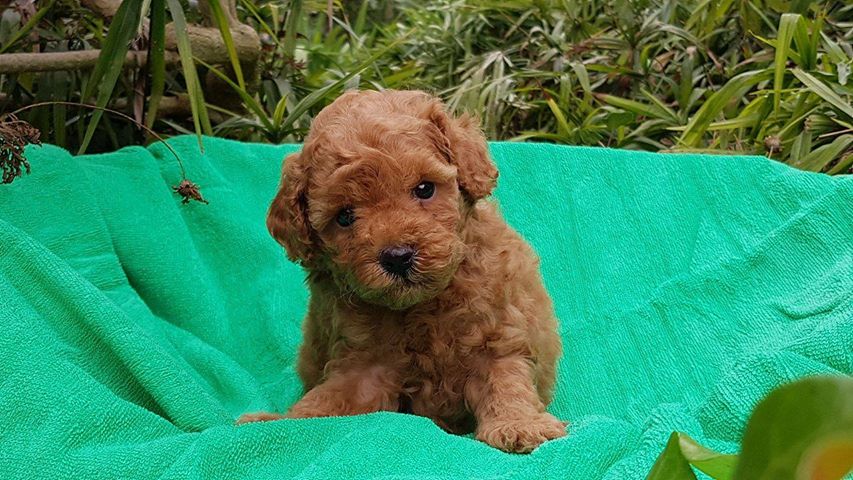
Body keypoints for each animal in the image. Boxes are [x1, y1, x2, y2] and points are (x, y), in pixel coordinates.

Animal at [241, 90, 564, 454]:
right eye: (345, 216)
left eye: (425, 189)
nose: (397, 257)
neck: (423, 305)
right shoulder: (364, 366)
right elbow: (326, 400)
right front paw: (277, 421)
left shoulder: (496, 334)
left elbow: (505, 380)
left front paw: (519, 424)